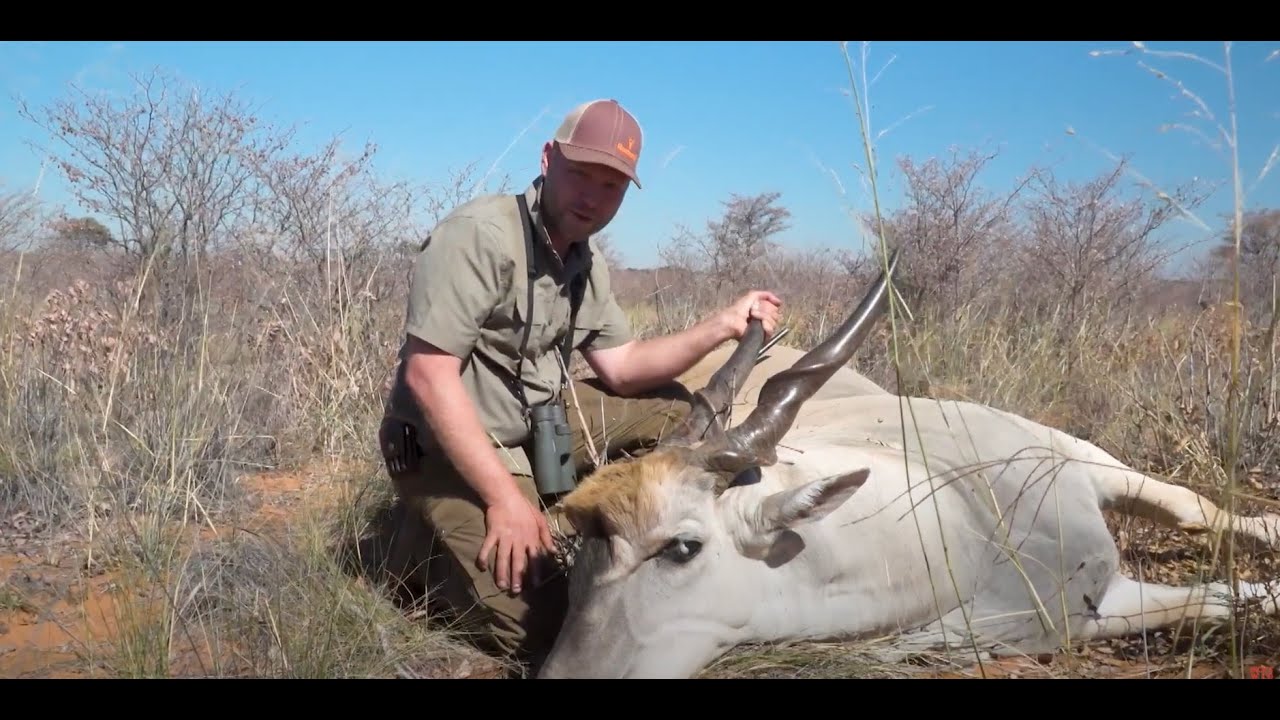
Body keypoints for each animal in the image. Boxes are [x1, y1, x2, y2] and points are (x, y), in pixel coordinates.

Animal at [536, 249, 1280, 679]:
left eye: (681, 547)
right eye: (579, 550)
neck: (965, 526)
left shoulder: (1074, 456)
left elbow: (1198, 513)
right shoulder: (1086, 615)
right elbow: (1216, 599)